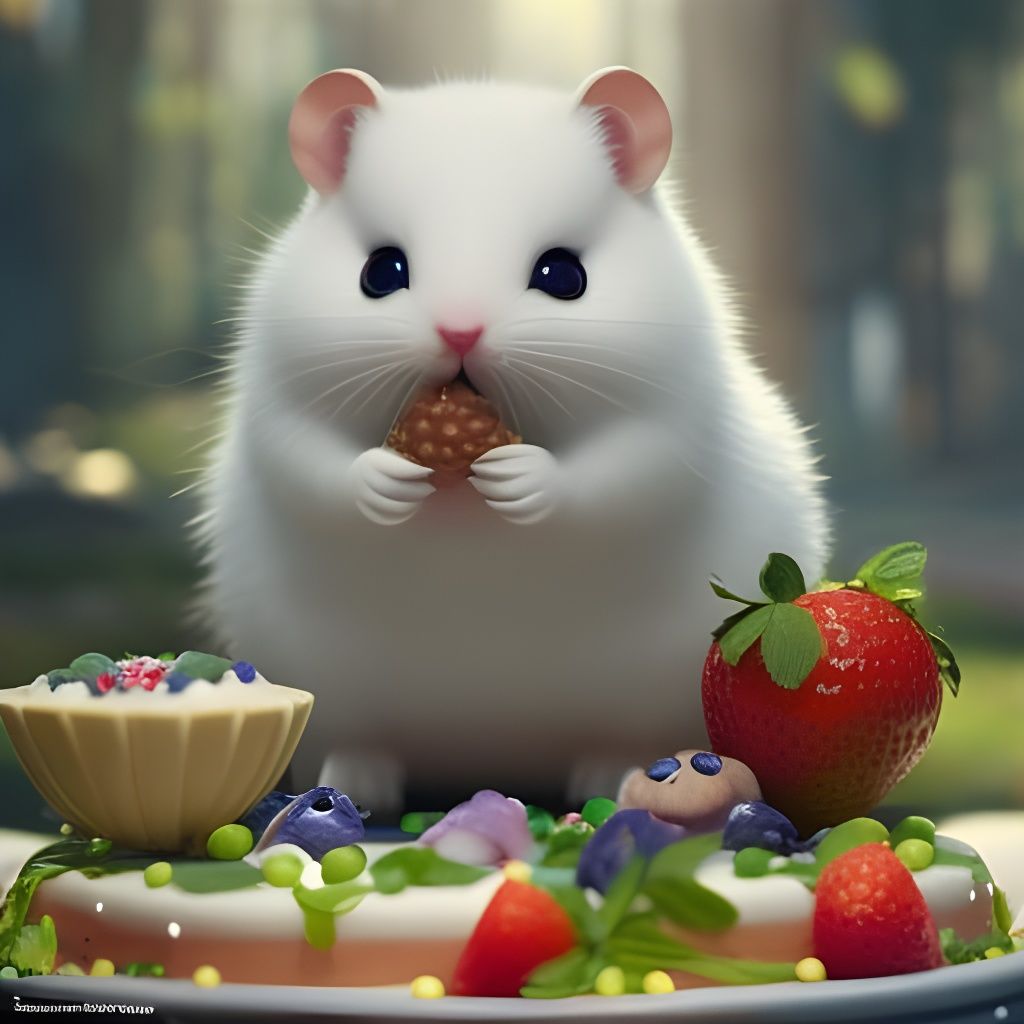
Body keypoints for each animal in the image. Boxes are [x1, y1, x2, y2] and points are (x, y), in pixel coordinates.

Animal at [196, 67, 829, 808]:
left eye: (563, 274)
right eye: (380, 272)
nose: (460, 332)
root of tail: (494, 760)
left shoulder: (673, 411)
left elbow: (624, 474)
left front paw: (516, 479)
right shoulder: (278, 392)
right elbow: (307, 463)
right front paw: (391, 482)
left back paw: (611, 778)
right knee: (358, 743)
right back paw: (356, 785)